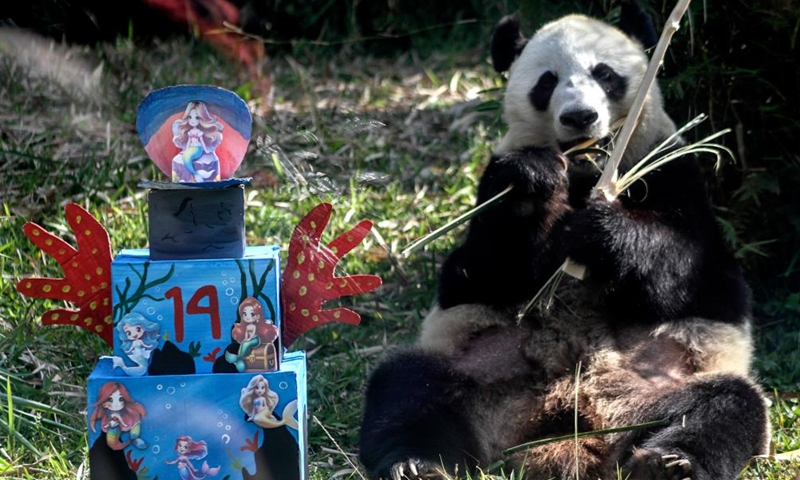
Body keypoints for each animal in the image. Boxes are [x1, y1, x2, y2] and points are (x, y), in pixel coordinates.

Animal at [360, 3, 768, 480]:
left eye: (604, 73)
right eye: (547, 81)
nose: (579, 117)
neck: (586, 169)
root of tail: (570, 416)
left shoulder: (674, 171)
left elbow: (705, 279)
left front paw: (605, 233)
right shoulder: (492, 179)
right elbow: (476, 272)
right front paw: (531, 185)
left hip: (667, 382)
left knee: (725, 406)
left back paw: (671, 463)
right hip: (478, 370)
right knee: (409, 389)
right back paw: (416, 463)